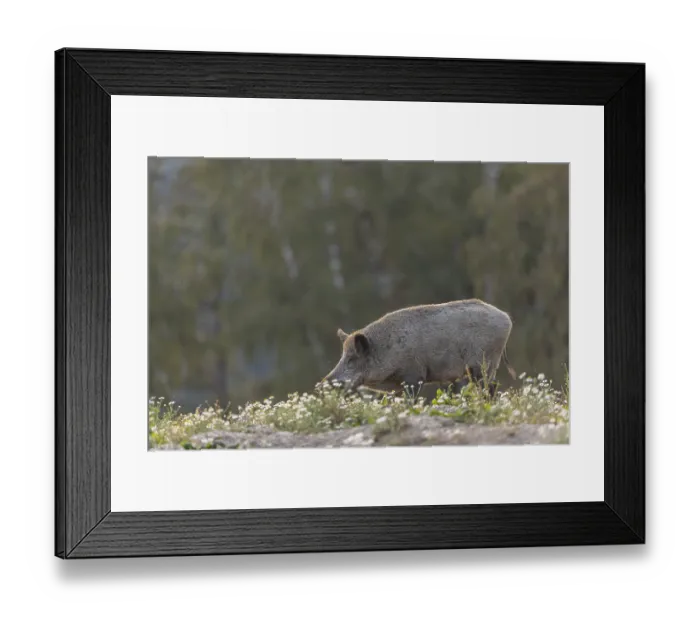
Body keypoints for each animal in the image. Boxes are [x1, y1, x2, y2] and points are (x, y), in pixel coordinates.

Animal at [322, 299, 515, 397]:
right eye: (342, 356)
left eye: (352, 359)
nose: (324, 382)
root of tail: (506, 318)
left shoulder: (414, 375)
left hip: (484, 362)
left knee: (490, 386)